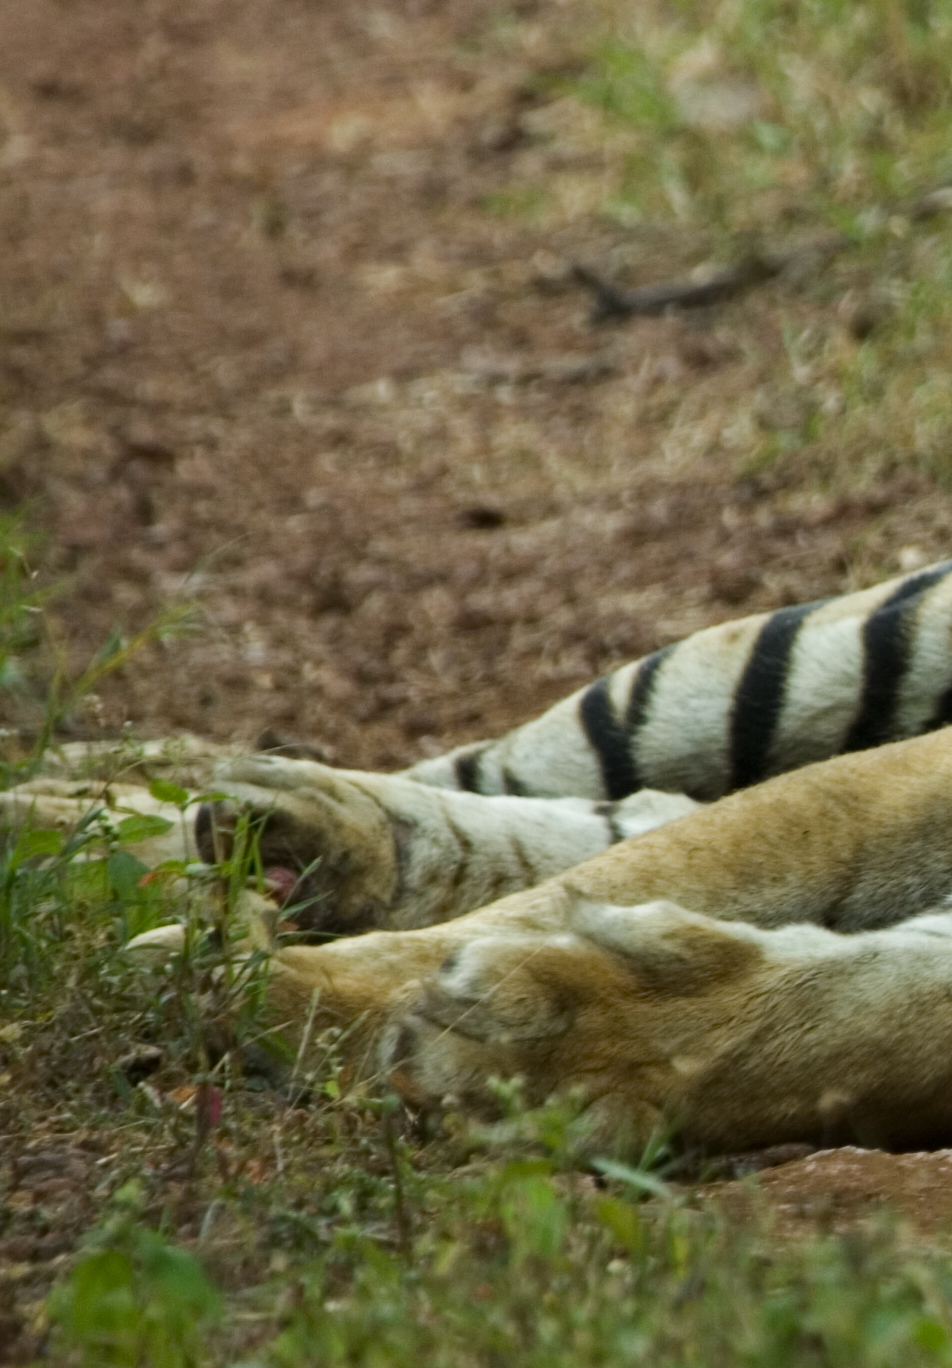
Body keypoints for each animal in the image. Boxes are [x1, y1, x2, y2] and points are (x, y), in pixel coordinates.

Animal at [9, 555, 952, 1154]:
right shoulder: (904, 777)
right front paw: (249, 984)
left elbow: (884, 1019)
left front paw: (528, 1063)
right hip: (796, 665)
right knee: (519, 785)